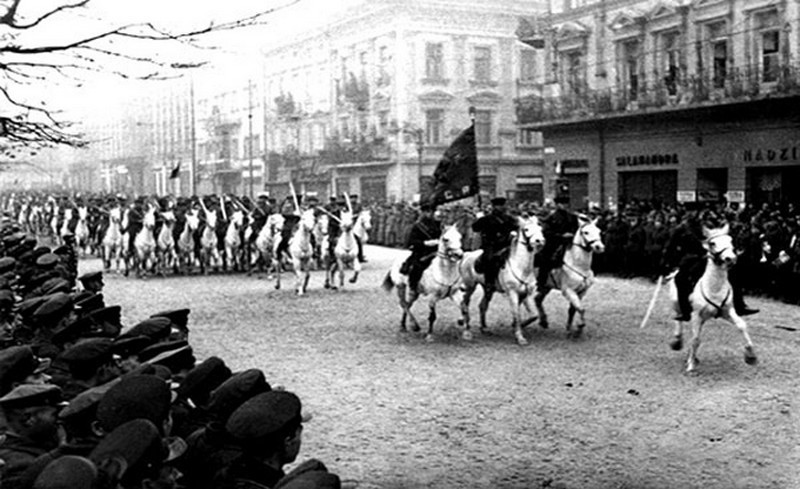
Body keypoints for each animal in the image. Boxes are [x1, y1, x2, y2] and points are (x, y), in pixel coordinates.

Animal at [460, 215, 548, 346]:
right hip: (469, 287)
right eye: (526, 229)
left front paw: (517, 327)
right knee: (465, 304)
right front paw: (520, 337)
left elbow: (533, 315)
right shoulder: (512, 293)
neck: (521, 267)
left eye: (540, 229)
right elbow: (516, 314)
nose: (540, 241)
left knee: (482, 306)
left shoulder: (526, 294)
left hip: (488, 289)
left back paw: (484, 328)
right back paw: (466, 331)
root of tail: (467, 255)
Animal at [668, 223, 756, 372]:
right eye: (712, 243)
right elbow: (696, 339)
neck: (714, 288)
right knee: (679, 319)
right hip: (677, 304)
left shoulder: (728, 311)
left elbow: (741, 326)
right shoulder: (696, 314)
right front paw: (691, 365)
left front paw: (751, 356)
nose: (730, 258)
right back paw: (677, 341)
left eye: (731, 240)